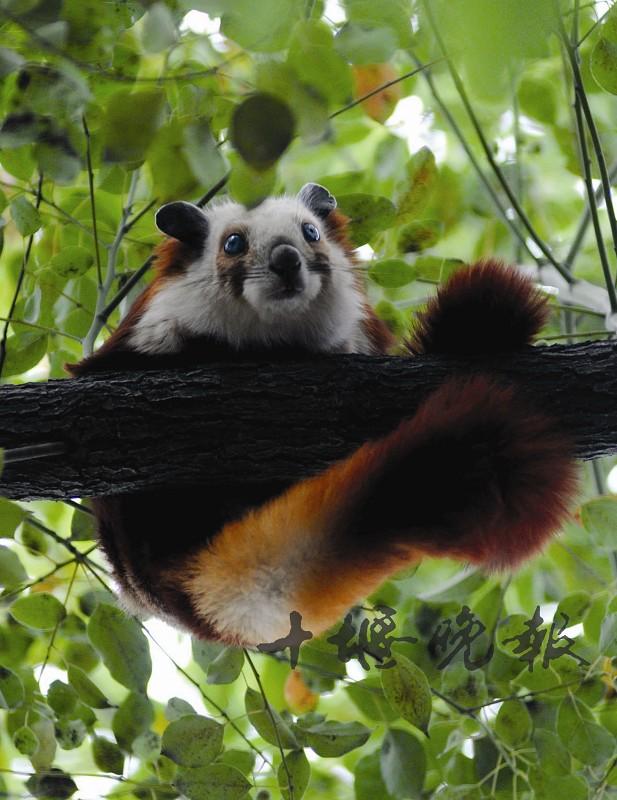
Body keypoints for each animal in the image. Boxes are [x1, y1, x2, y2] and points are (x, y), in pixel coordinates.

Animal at [68, 184, 576, 648]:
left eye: (310, 232)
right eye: (233, 243)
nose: (286, 259)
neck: (272, 344)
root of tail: (178, 593)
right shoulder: (148, 334)